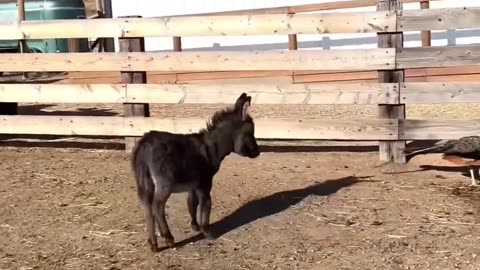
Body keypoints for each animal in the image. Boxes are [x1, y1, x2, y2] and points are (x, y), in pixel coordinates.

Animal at [130, 93, 258, 251]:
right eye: (250, 133)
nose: (258, 152)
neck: (212, 148)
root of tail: (144, 144)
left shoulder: (193, 184)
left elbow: (192, 203)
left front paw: (195, 226)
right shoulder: (205, 183)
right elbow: (206, 204)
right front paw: (207, 232)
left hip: (145, 182)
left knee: (148, 208)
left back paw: (153, 243)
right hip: (164, 183)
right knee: (157, 206)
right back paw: (169, 239)